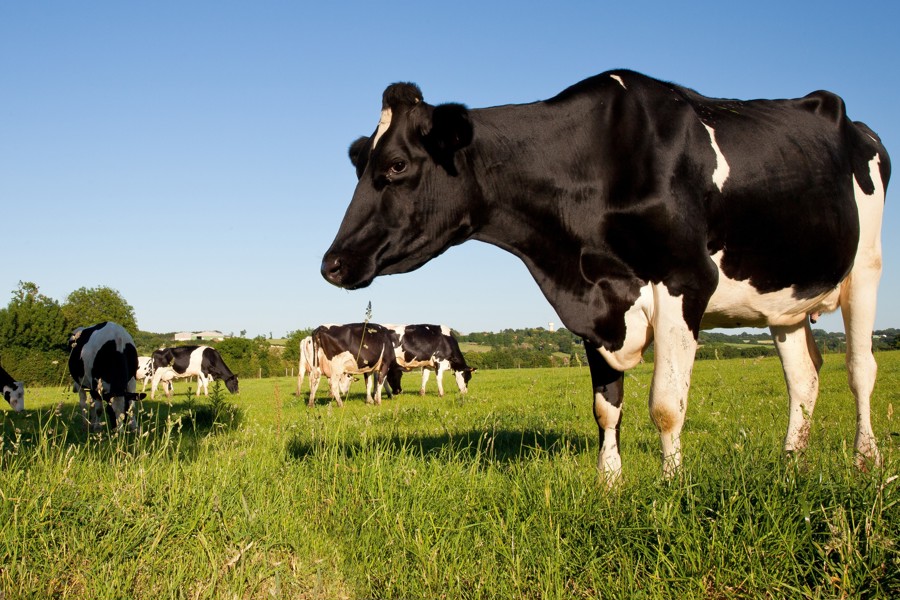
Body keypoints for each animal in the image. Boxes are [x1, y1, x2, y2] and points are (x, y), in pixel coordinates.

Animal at [320, 69, 888, 482]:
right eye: (361, 165)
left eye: (396, 165)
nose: (331, 263)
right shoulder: (596, 303)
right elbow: (605, 408)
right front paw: (609, 483)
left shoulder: (686, 282)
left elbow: (666, 406)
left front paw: (669, 487)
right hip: (785, 301)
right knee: (805, 378)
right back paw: (792, 462)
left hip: (866, 269)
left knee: (860, 369)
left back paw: (867, 460)